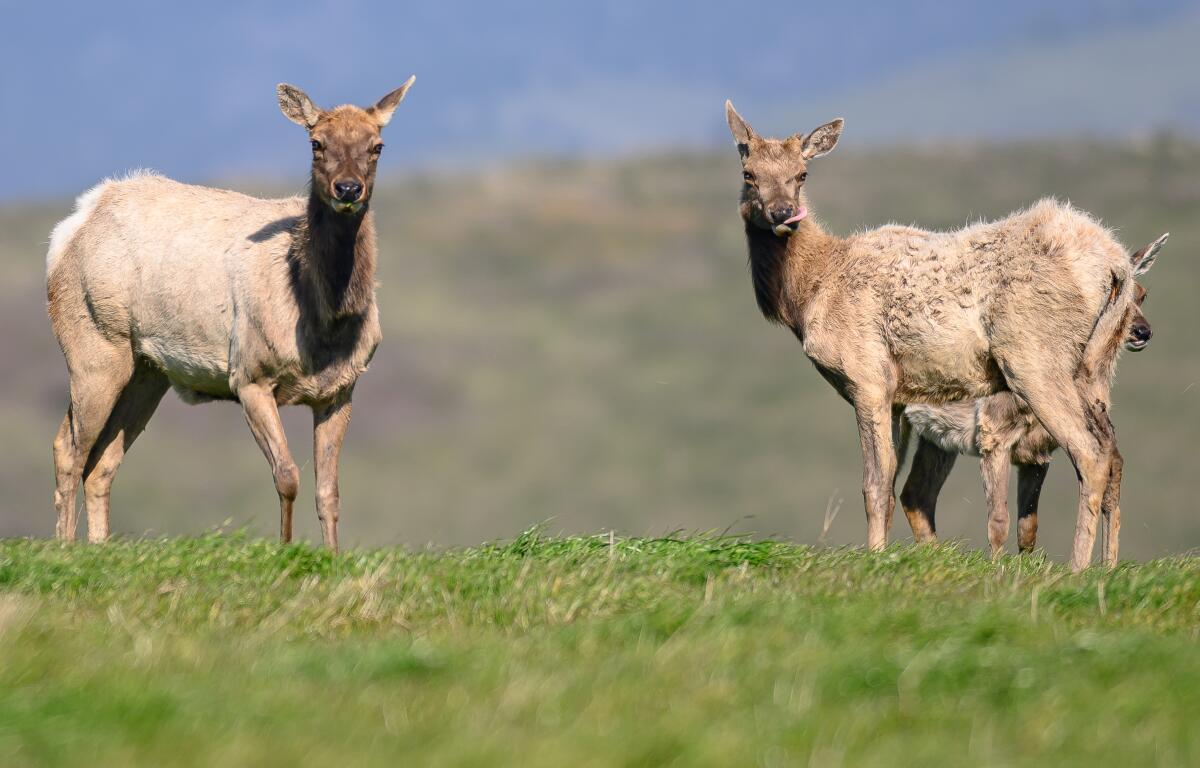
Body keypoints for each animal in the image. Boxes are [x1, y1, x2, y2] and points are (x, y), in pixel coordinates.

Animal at [45, 78, 415, 549]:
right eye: (315, 142)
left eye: (377, 146)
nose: (348, 189)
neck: (323, 328)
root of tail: (72, 225)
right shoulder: (250, 373)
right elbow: (287, 476)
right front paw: (285, 550)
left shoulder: (341, 388)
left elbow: (329, 492)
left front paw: (332, 555)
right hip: (93, 341)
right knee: (68, 448)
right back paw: (65, 546)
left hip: (147, 369)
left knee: (102, 462)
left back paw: (100, 546)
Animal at [898, 233, 1163, 561]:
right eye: (1124, 294)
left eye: (1143, 295)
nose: (1142, 331)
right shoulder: (993, 431)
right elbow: (998, 520)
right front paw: (996, 567)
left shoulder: (1038, 453)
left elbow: (1029, 529)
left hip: (938, 438)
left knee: (915, 495)